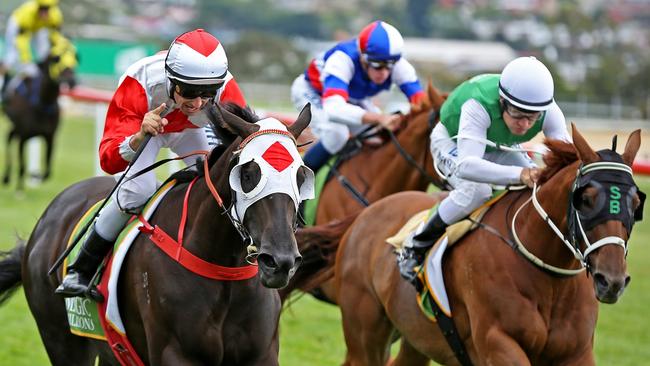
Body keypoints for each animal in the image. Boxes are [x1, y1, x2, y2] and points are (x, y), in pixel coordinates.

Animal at [0, 104, 314, 364]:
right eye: (248, 175)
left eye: (301, 176)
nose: (280, 262)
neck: (223, 270)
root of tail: (48, 218)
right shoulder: (176, 354)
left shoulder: (262, 355)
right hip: (60, 339)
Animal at [2, 43, 77, 190]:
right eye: (56, 59)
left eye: (75, 58)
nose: (71, 80)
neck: (43, 103)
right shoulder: (23, 136)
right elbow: (22, 166)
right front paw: (19, 189)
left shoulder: (50, 136)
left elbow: (48, 171)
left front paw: (35, 175)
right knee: (8, 139)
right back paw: (6, 177)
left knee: (10, 136)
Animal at [312, 124, 640, 364]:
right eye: (586, 199)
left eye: (636, 202)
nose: (611, 281)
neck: (549, 280)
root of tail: (366, 213)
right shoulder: (498, 342)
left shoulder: (577, 352)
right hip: (366, 334)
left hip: (414, 338)